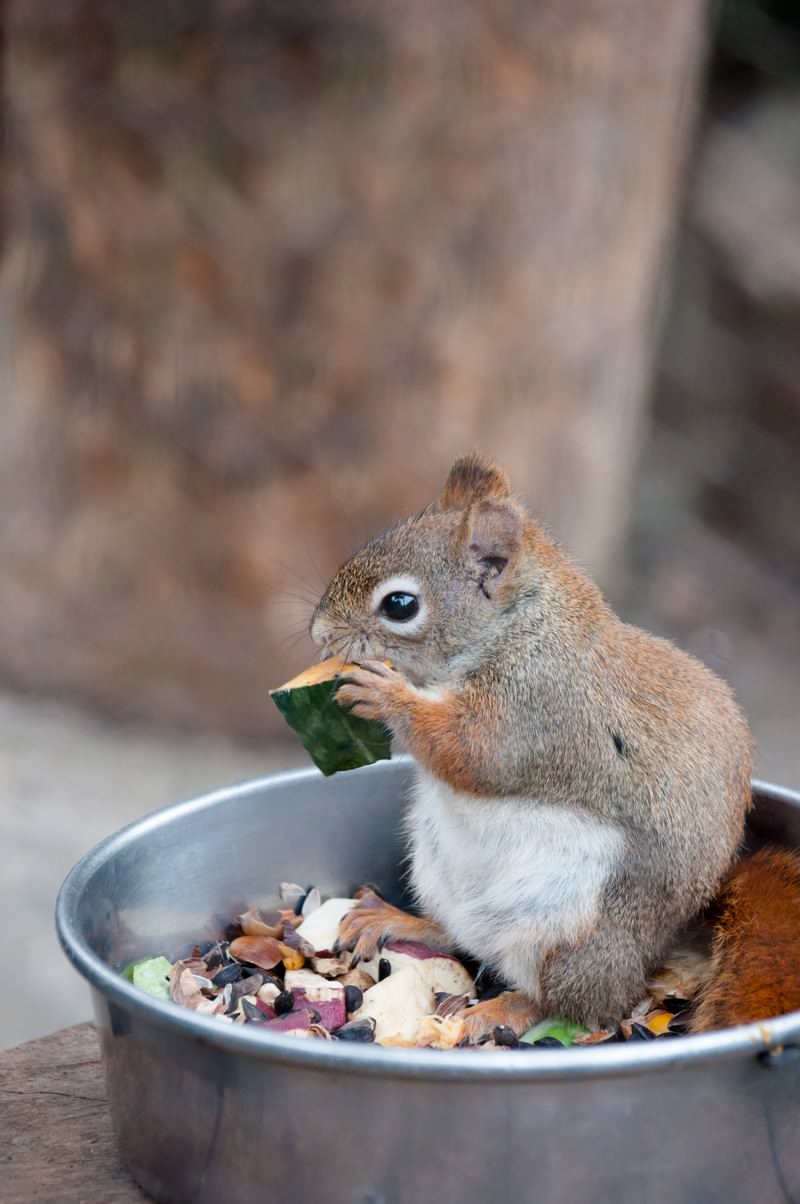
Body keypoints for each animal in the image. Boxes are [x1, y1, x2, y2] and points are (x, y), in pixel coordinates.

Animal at [308, 455, 795, 1040]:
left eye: (400, 605)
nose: (318, 634)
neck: (515, 628)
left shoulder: (538, 707)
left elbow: (474, 753)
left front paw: (384, 695)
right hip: (438, 875)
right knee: (461, 938)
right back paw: (397, 921)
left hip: (573, 933)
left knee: (570, 1002)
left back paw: (503, 1009)